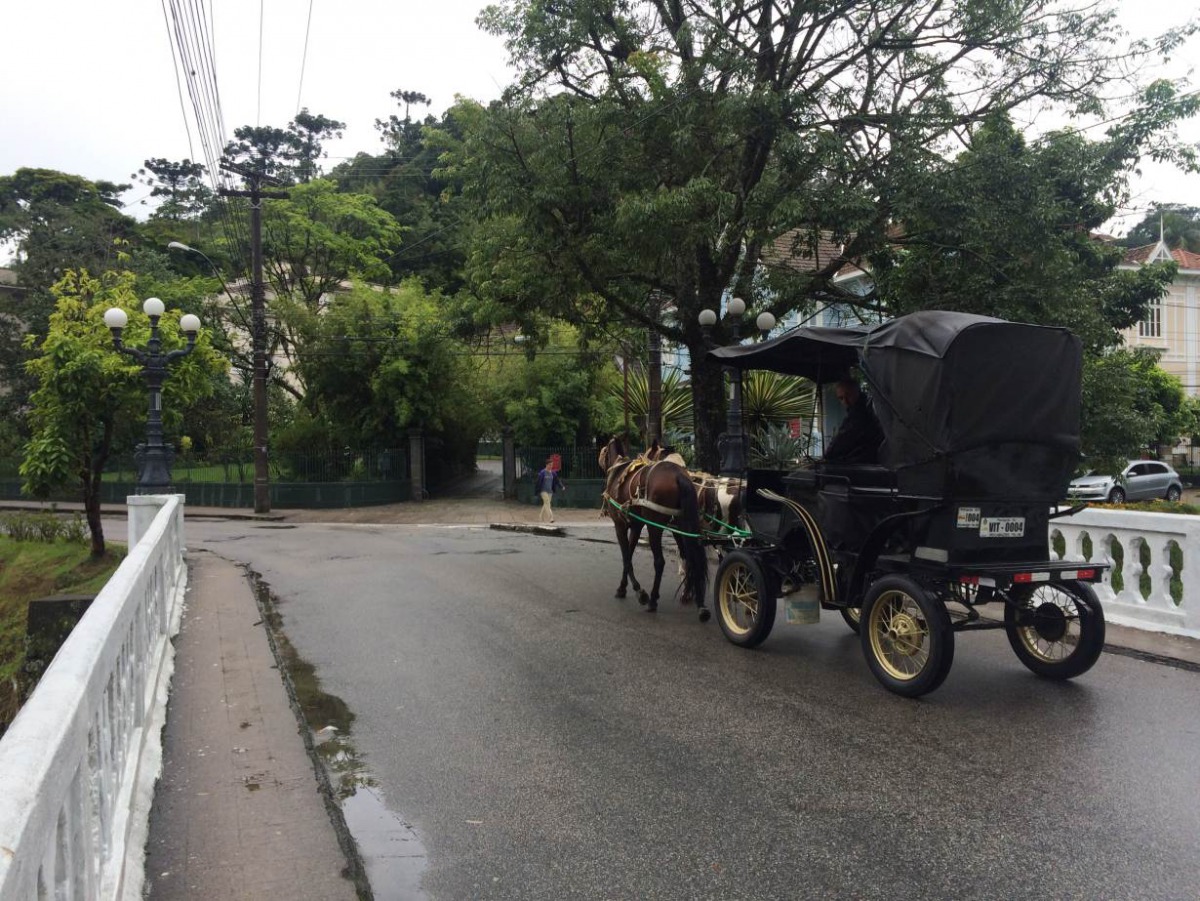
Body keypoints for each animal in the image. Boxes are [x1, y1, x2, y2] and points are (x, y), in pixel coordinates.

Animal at [595, 436, 705, 619]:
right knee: (690, 556)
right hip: (682, 525)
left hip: (656, 527)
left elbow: (626, 557)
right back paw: (699, 603)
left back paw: (653, 599)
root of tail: (678, 476)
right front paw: (623, 587)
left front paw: (639, 592)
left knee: (660, 561)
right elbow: (629, 554)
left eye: (604, 450)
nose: (600, 459)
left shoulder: (620, 525)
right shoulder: (636, 526)